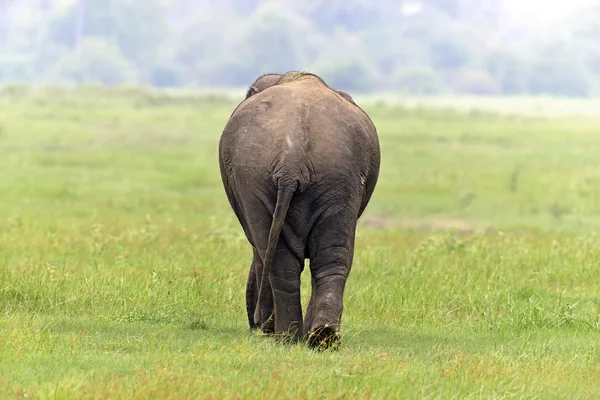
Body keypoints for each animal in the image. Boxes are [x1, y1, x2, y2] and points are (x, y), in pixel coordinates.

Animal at [219, 72, 380, 350]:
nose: (254, 324)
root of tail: (291, 160)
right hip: (336, 178)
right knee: (329, 257)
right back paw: (321, 337)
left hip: (271, 178)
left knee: (276, 258)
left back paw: (287, 338)